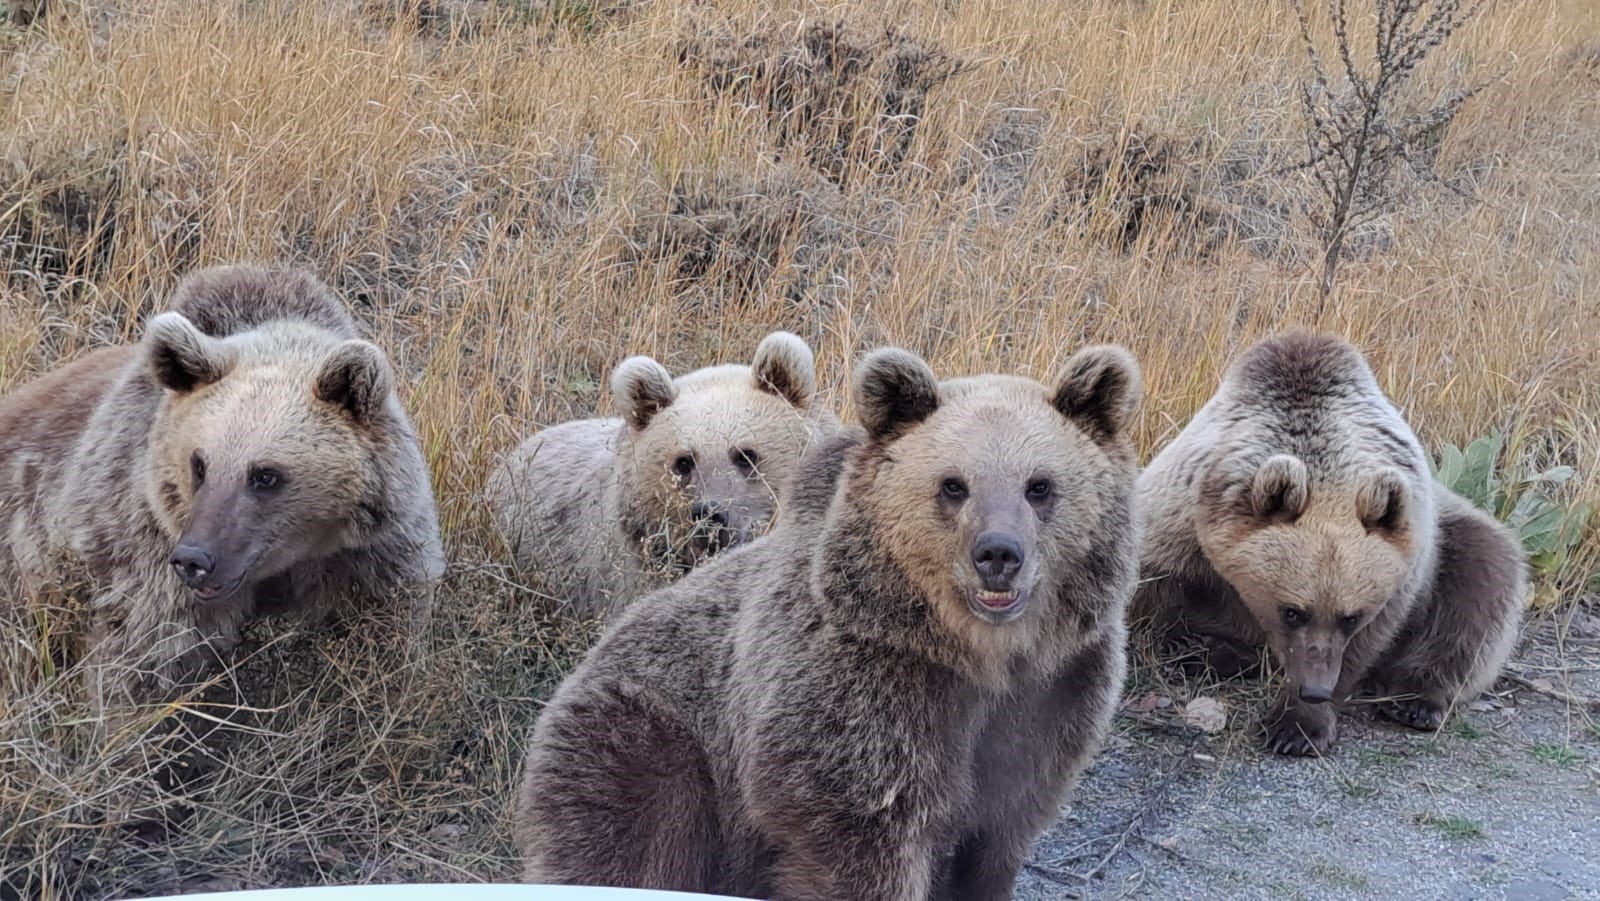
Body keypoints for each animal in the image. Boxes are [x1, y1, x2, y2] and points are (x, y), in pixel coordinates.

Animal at [0, 264, 444, 716]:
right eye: (199, 464)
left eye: (264, 474)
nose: (194, 559)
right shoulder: (144, 557)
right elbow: (142, 668)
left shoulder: (368, 553)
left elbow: (381, 637)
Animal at [512, 342, 1139, 896]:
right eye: (953, 485)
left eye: (1040, 485)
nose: (998, 554)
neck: (978, 658)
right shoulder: (859, 696)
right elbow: (859, 836)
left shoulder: (1052, 700)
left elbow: (995, 839)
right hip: (654, 743)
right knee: (623, 835)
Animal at [1132, 331, 1529, 755]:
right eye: (1292, 611)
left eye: (1350, 616)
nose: (1315, 689)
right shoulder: (1178, 524)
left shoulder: (1406, 566)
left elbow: (1371, 640)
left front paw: (1296, 727)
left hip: (1452, 533)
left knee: (1481, 583)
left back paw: (1416, 702)